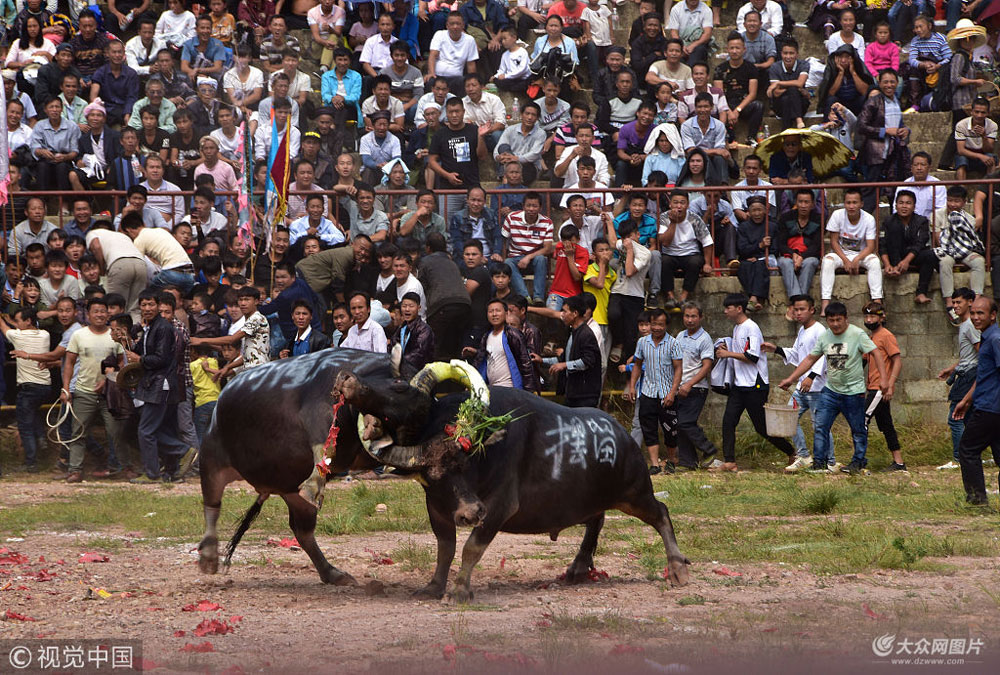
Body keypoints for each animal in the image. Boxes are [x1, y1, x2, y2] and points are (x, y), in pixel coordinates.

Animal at [342, 364, 688, 604]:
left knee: (660, 512)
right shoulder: (437, 508)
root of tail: (623, 435)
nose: (470, 513)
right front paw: (434, 586)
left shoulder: (499, 506)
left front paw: (460, 591)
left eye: (466, 462)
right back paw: (578, 568)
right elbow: (445, 548)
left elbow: (471, 547)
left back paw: (678, 569)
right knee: (597, 519)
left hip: (634, 492)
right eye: (434, 476)